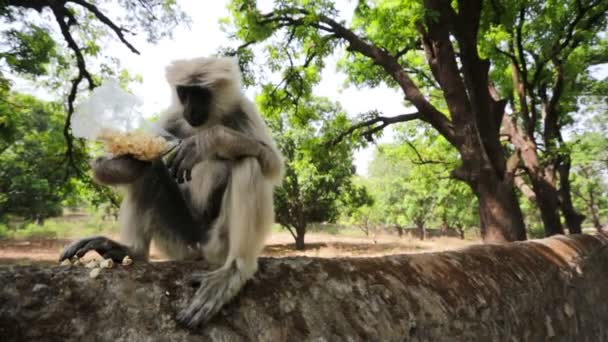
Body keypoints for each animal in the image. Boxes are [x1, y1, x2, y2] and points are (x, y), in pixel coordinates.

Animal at [60, 56, 284, 326]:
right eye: (184, 93)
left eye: (200, 94)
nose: (191, 109)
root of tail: (200, 250)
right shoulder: (174, 117)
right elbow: (120, 169)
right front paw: (132, 157)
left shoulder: (242, 110)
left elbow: (273, 165)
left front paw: (209, 141)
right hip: (178, 242)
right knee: (152, 171)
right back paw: (133, 251)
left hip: (217, 244)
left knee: (248, 161)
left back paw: (235, 271)